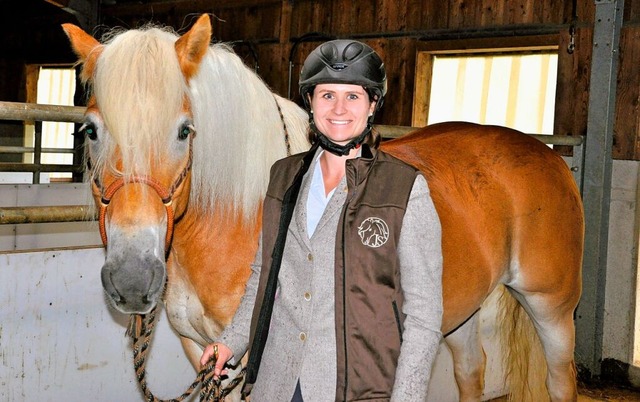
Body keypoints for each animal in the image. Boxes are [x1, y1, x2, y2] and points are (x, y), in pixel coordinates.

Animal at [62, 12, 584, 402]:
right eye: (91, 130)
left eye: (184, 131)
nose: (132, 280)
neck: (235, 219)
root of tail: (546, 153)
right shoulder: (204, 352)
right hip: (459, 313)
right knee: (471, 374)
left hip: (552, 307)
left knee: (561, 381)